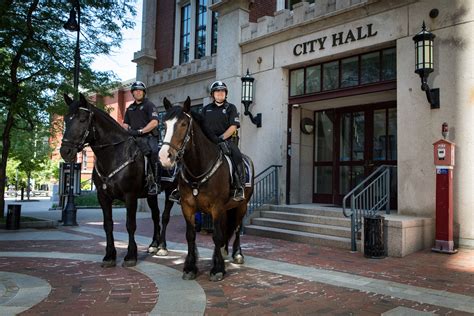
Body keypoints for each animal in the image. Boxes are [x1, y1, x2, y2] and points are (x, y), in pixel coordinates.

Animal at [59, 94, 178, 266]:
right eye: (66, 120)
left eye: (82, 119)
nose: (65, 151)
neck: (114, 154)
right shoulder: (103, 197)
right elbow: (108, 225)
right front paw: (109, 255)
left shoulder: (130, 196)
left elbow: (130, 225)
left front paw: (131, 255)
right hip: (151, 195)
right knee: (155, 215)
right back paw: (153, 244)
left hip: (170, 191)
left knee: (165, 216)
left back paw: (162, 246)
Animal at [159, 97, 256, 282]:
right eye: (164, 125)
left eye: (183, 124)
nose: (164, 157)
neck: (199, 168)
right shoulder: (188, 206)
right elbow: (191, 235)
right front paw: (190, 267)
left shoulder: (216, 207)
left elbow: (216, 235)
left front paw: (217, 269)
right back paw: (224, 250)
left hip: (242, 205)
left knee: (237, 227)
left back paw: (237, 254)